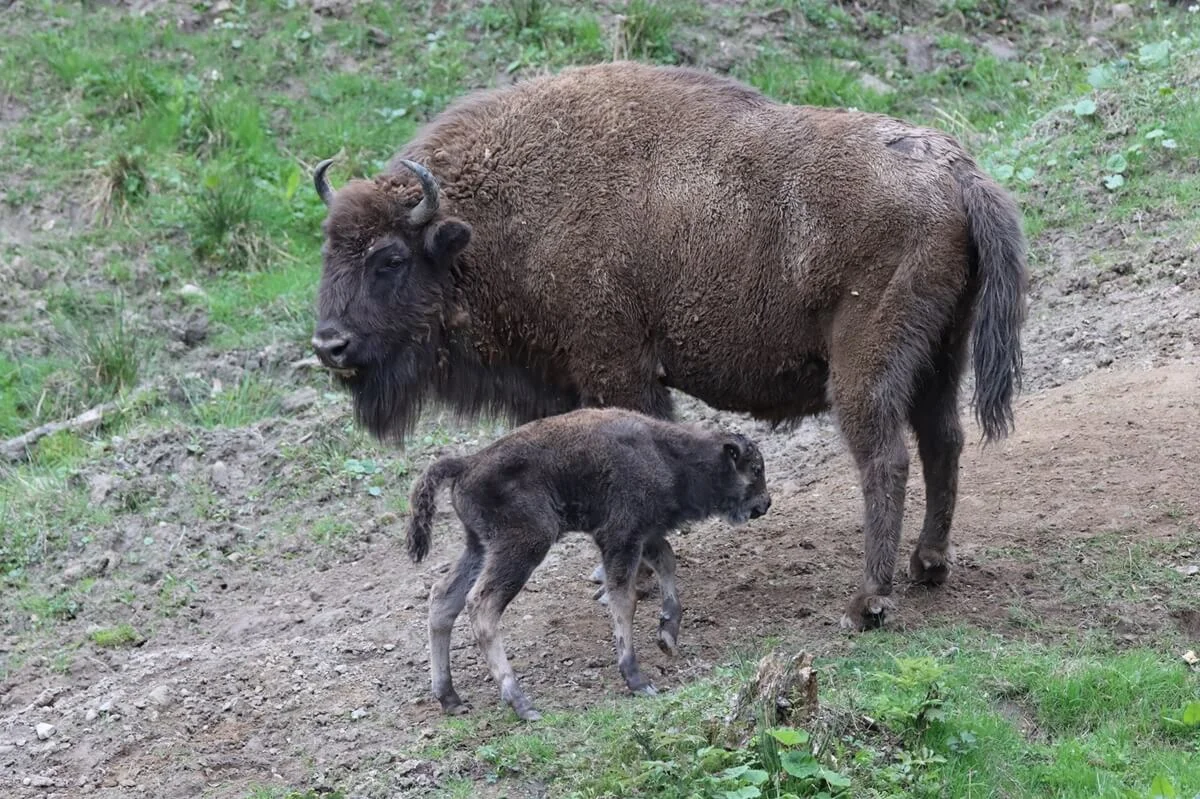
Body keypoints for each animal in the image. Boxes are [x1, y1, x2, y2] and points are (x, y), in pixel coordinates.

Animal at [309, 60, 1032, 628]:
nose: (329, 346)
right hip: (942, 354)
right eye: (328, 249)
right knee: (944, 440)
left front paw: (630, 579)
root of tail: (960, 174)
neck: (501, 218)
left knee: (886, 459)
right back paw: (928, 565)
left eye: (389, 258)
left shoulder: (618, 370)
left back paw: (868, 602)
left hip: (865, 366)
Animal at [408, 407, 772, 719]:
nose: (765, 503)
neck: (667, 453)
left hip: (479, 547)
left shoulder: (644, 535)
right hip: (523, 546)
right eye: (755, 469)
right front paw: (637, 679)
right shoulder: (620, 538)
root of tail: (466, 463)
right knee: (481, 605)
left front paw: (667, 635)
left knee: (443, 598)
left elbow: (667, 562)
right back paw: (522, 704)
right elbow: (624, 600)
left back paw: (450, 698)